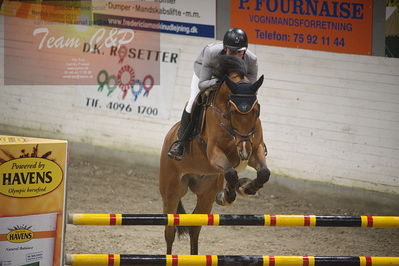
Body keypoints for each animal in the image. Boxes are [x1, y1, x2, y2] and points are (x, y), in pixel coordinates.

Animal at [158, 54, 270, 256]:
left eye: (257, 109)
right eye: (233, 111)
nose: (244, 147)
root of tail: (170, 134)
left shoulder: (255, 150)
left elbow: (264, 172)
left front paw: (247, 188)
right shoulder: (214, 153)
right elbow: (231, 172)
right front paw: (229, 195)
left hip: (206, 192)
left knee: (194, 227)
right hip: (172, 190)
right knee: (169, 230)